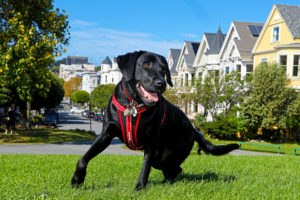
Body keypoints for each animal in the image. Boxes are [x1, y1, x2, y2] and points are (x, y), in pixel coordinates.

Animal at [71, 50, 239, 190]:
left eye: (164, 70)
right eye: (146, 65)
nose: (161, 84)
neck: (133, 103)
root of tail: (194, 130)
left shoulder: (150, 142)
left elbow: (145, 168)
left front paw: (139, 187)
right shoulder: (106, 134)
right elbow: (83, 159)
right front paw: (77, 180)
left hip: (171, 156)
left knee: (174, 169)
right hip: (161, 160)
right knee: (172, 170)